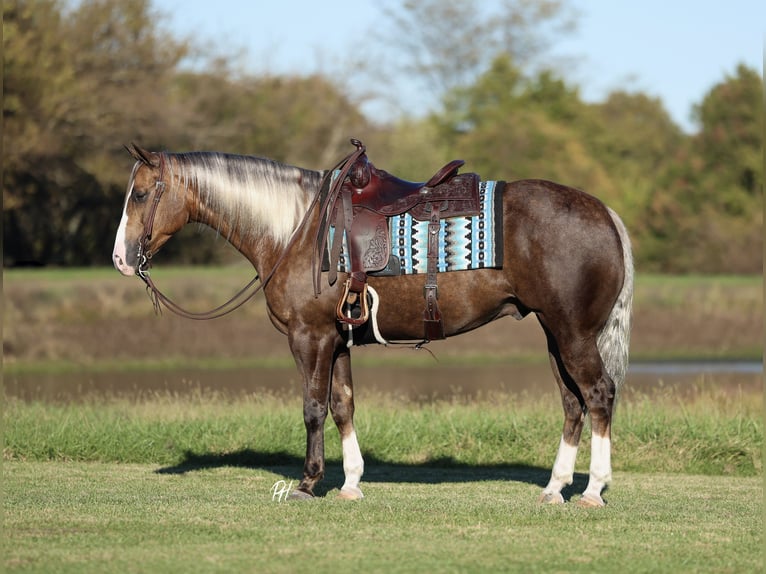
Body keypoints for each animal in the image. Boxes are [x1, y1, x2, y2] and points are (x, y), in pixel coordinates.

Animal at [112, 143, 633, 507]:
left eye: (140, 193)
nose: (120, 258)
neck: (296, 230)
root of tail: (605, 213)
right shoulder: (338, 340)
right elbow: (343, 406)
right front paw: (351, 483)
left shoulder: (310, 337)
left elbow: (313, 408)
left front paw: (308, 483)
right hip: (554, 333)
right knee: (572, 403)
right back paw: (554, 488)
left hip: (573, 335)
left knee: (598, 394)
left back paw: (592, 490)